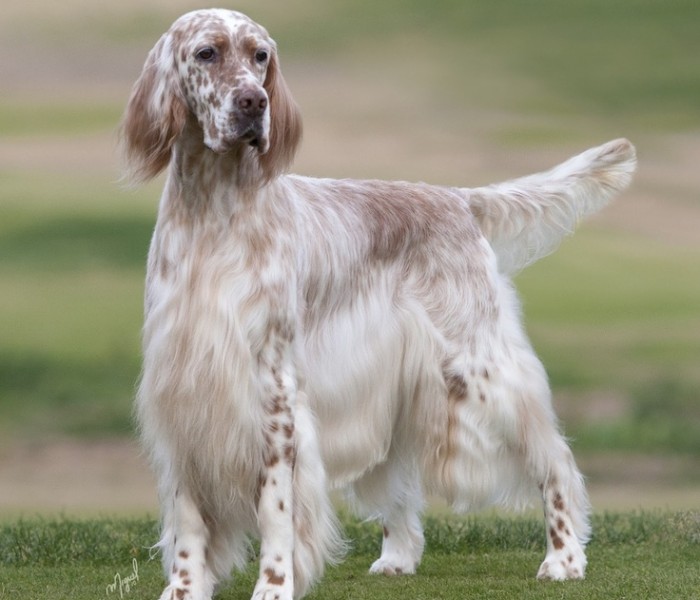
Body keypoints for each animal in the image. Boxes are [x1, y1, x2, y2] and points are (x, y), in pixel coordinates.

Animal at [123, 9, 636, 600]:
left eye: (261, 56)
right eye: (207, 53)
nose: (255, 102)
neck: (214, 213)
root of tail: (458, 199)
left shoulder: (274, 391)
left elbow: (276, 508)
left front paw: (274, 585)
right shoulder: (180, 390)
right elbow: (187, 516)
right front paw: (185, 587)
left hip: (481, 369)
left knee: (555, 461)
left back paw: (564, 557)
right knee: (402, 481)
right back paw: (398, 557)